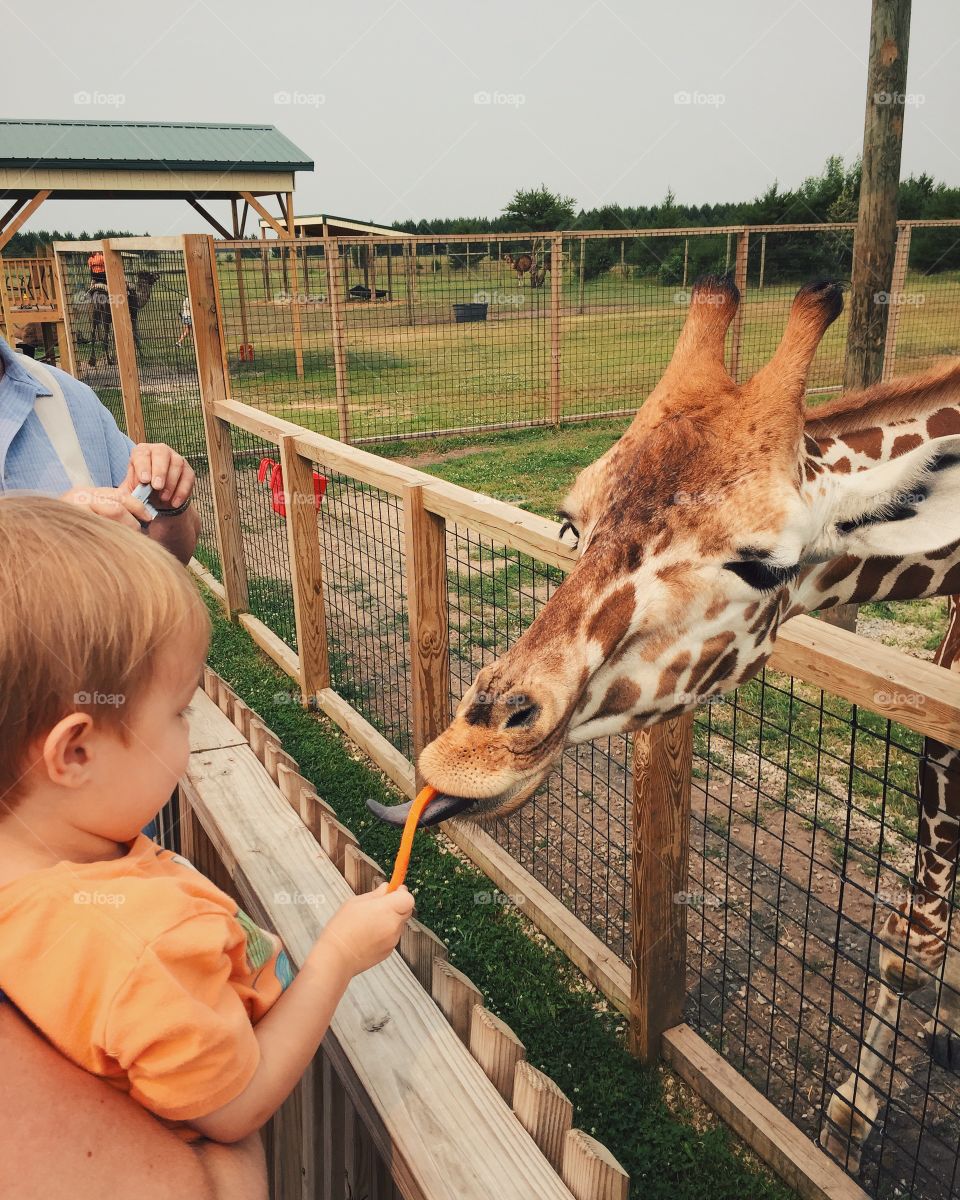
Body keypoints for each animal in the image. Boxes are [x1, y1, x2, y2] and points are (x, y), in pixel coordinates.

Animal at [372, 274, 960, 1171]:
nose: (464, 754)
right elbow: (916, 937)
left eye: (765, 565)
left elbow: (917, 937)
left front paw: (852, 1121)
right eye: (570, 524)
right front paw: (853, 1117)